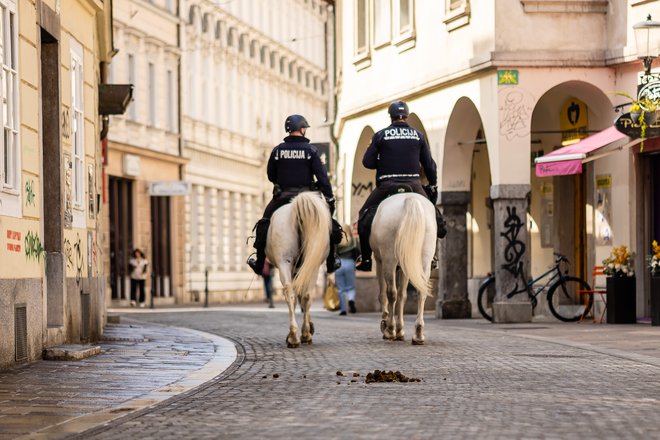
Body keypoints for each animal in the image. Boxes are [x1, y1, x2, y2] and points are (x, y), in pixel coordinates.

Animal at [266, 191, 332, 348]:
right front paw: (309, 328)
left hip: (286, 263)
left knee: (293, 293)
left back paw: (295, 336)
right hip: (309, 265)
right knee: (305, 294)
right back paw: (300, 335)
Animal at [372, 192, 438, 344]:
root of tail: (410, 199)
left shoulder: (379, 261)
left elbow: (384, 294)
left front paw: (387, 325)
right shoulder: (406, 266)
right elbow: (403, 295)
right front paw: (400, 330)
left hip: (389, 259)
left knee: (391, 293)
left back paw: (390, 330)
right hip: (423, 260)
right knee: (421, 292)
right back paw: (418, 333)